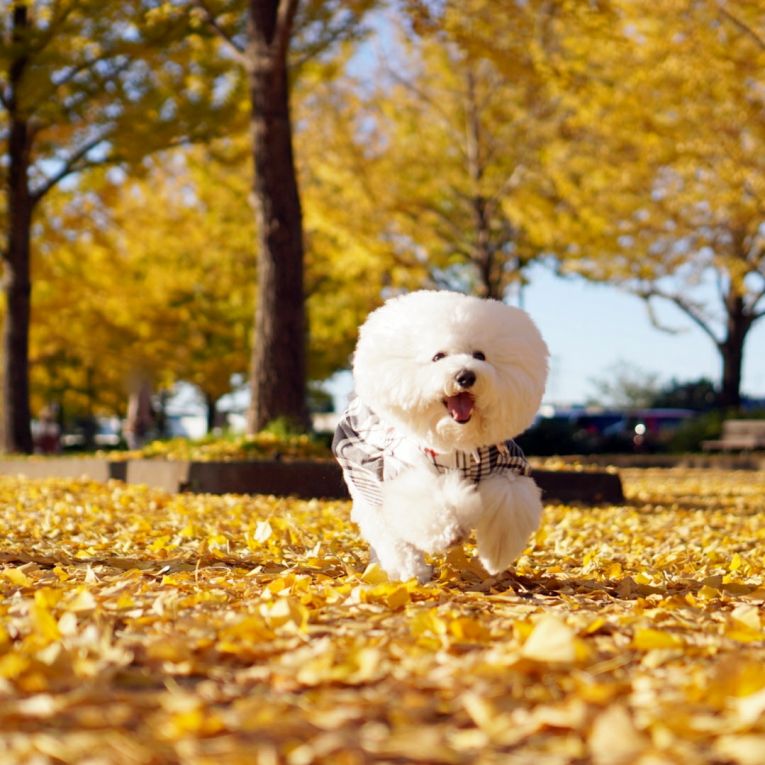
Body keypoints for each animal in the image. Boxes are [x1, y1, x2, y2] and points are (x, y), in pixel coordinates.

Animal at [332, 290, 548, 580]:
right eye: (438, 357)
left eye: (480, 355)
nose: (465, 376)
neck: (458, 442)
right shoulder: (404, 473)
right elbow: (426, 504)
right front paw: (450, 532)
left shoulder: (509, 464)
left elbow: (509, 501)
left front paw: (497, 553)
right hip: (366, 479)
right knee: (390, 535)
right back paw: (409, 572)